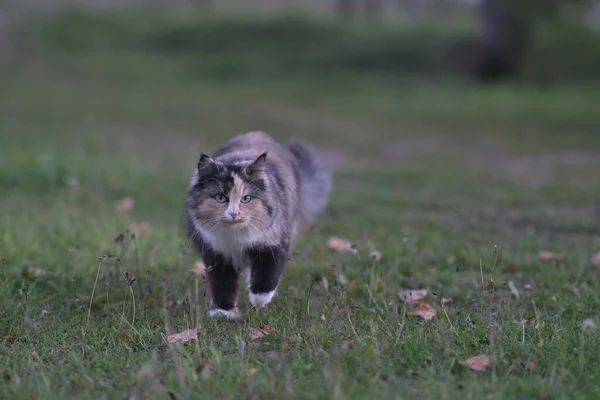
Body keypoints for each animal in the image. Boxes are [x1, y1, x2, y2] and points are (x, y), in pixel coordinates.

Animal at [184, 131, 332, 318]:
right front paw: (223, 312)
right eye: (220, 198)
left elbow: (267, 273)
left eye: (246, 198)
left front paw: (259, 299)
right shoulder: (216, 253)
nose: (234, 213)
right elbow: (223, 284)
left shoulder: (274, 242)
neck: (235, 236)